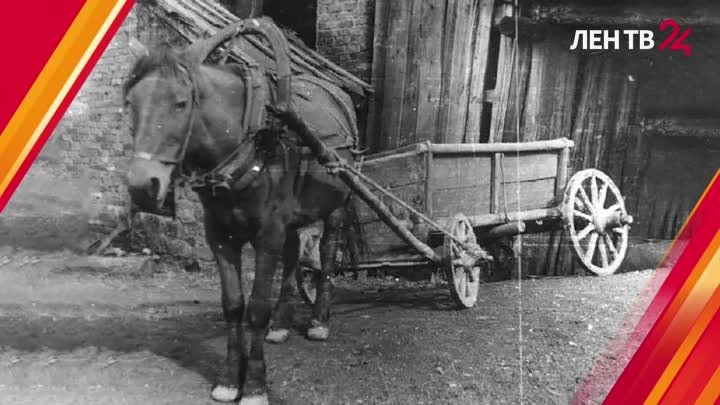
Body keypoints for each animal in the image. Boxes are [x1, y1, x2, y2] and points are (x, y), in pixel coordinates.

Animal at [124, 22, 362, 404]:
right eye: (131, 103)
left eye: (181, 103)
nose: (143, 187)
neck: (249, 139)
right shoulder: (220, 234)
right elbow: (234, 305)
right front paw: (228, 380)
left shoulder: (267, 235)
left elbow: (257, 308)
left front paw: (254, 385)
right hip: (290, 221)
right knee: (293, 257)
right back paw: (281, 325)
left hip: (337, 204)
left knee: (326, 255)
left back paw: (319, 321)